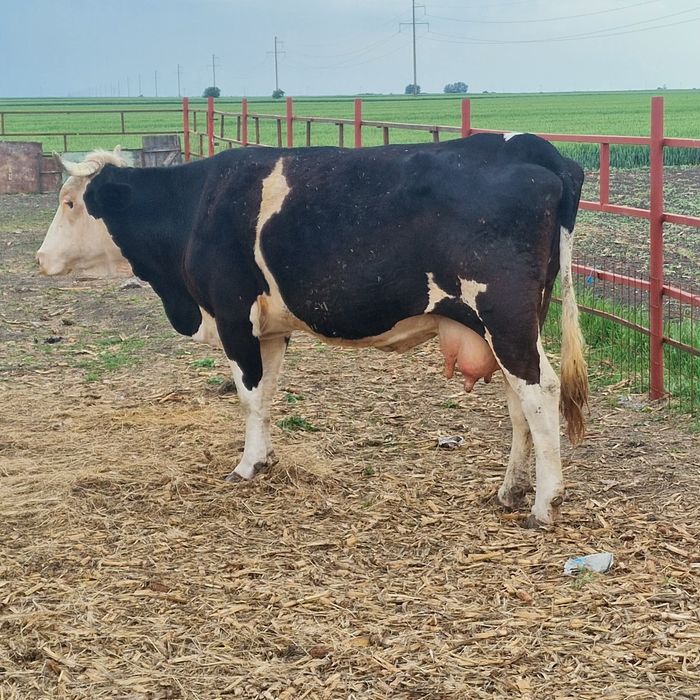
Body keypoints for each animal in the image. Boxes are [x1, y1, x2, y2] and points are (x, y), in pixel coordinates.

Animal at [83, 134, 588, 527]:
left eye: (74, 203)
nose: (51, 259)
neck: (197, 205)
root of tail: (531, 146)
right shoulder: (271, 330)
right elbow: (265, 394)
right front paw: (264, 458)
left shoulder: (233, 317)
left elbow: (248, 394)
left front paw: (245, 466)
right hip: (509, 327)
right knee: (519, 403)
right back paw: (510, 492)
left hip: (505, 318)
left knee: (540, 391)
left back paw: (544, 505)